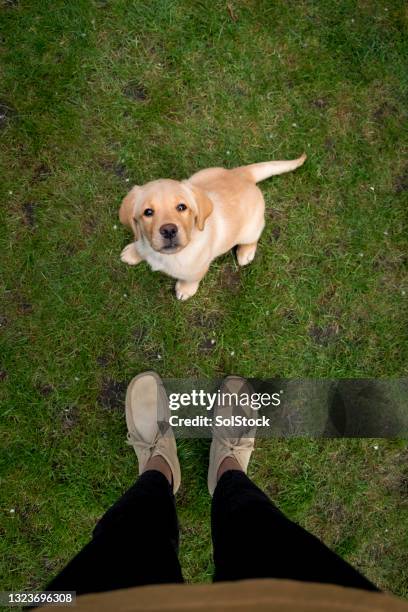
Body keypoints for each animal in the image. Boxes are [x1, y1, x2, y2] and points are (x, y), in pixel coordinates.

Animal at [120, 154, 306, 300]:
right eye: (148, 212)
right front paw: (133, 252)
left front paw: (185, 290)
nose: (169, 230)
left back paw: (245, 253)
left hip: (251, 228)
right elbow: (140, 245)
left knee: (254, 238)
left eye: (182, 207)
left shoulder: (198, 268)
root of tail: (243, 174)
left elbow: (191, 279)